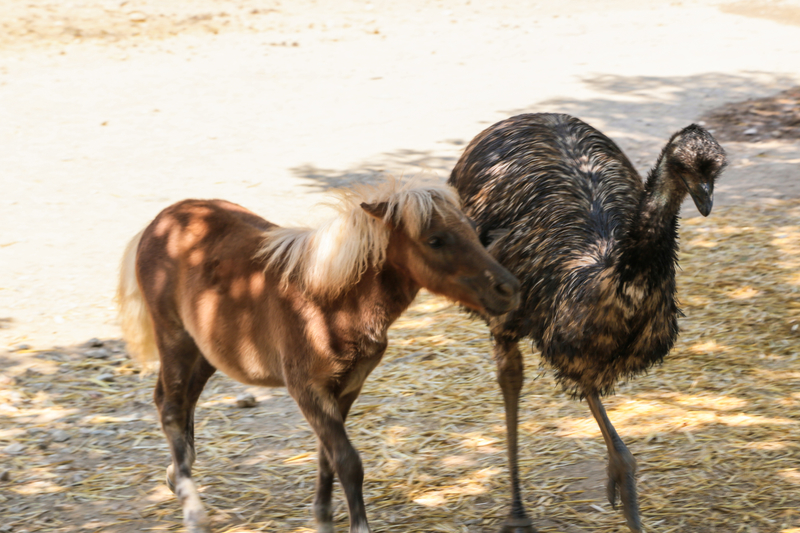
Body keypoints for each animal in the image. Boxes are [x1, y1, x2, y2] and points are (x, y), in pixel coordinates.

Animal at [117, 180, 520, 532]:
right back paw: (194, 512)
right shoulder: (307, 390)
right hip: (175, 338)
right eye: (435, 240)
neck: (331, 305)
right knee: (171, 408)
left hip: (206, 351)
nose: (509, 288)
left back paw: (177, 475)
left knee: (177, 402)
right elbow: (347, 461)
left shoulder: (347, 388)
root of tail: (159, 223)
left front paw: (323, 519)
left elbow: (327, 457)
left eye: (471, 229)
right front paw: (357, 526)